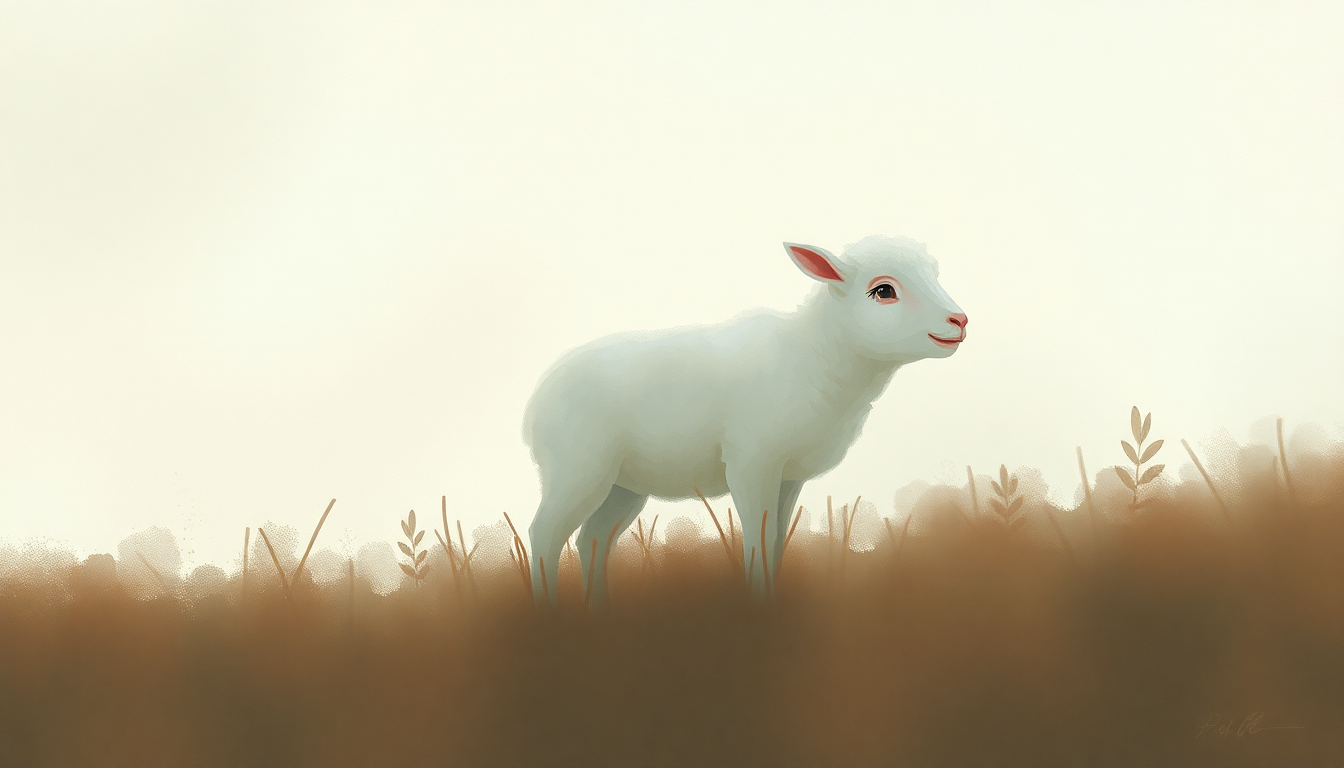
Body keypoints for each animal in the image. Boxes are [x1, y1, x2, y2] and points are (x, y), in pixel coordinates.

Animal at [523, 235, 968, 605]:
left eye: (935, 275)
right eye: (883, 290)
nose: (959, 321)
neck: (815, 355)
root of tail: (532, 409)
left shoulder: (789, 476)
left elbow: (776, 541)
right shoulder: (752, 461)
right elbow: (758, 539)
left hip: (623, 484)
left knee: (592, 540)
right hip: (578, 467)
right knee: (544, 534)